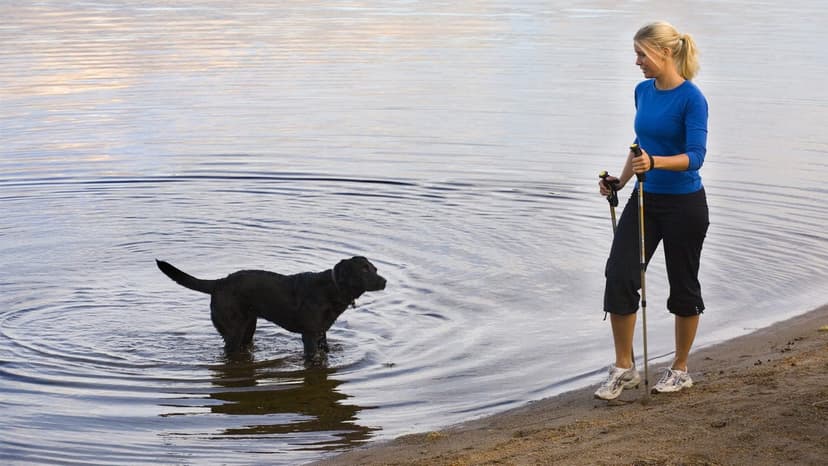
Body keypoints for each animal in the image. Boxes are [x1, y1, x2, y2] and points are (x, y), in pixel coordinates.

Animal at [156, 256, 384, 358]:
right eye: (364, 269)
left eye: (375, 268)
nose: (384, 281)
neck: (333, 288)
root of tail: (219, 282)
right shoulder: (310, 335)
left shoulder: (321, 333)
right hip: (233, 330)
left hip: (248, 327)